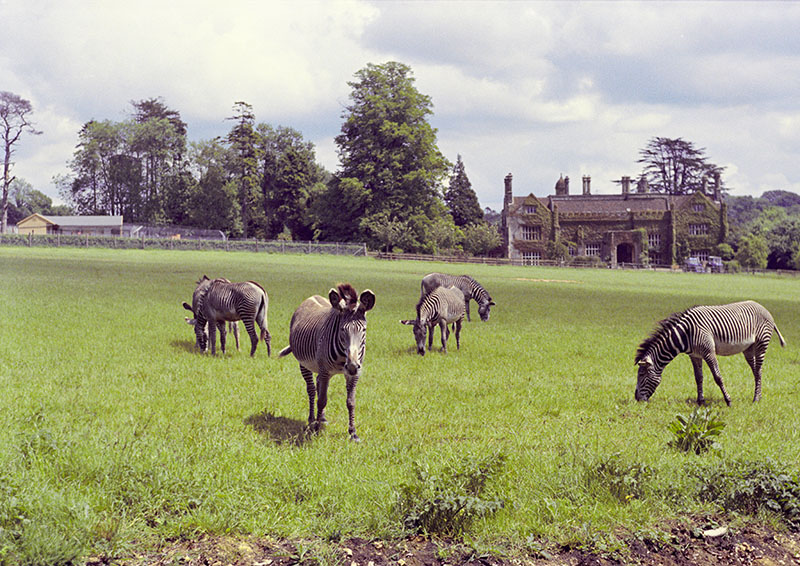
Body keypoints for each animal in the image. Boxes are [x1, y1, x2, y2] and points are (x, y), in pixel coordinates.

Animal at [278, 283, 375, 441]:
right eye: (342, 330)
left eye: (364, 330)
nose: (352, 366)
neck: (343, 358)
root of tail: (312, 297)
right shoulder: (324, 371)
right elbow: (322, 400)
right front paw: (317, 430)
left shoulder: (354, 374)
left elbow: (351, 402)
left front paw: (353, 433)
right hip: (304, 364)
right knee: (312, 390)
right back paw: (312, 419)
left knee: (317, 385)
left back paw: (321, 418)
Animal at [635, 300, 785, 405]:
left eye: (641, 375)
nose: (637, 399)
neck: (685, 334)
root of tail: (764, 309)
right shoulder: (695, 355)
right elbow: (698, 377)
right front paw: (700, 401)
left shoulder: (709, 352)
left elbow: (718, 377)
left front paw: (728, 400)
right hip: (748, 349)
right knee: (756, 371)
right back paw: (758, 396)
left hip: (761, 344)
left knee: (758, 370)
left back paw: (755, 399)